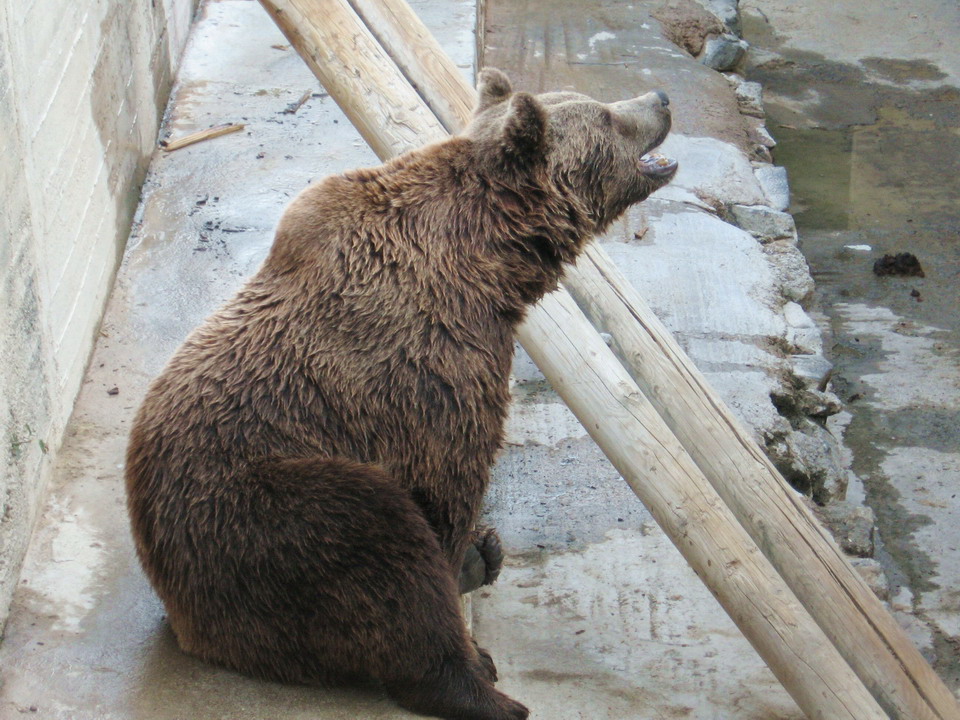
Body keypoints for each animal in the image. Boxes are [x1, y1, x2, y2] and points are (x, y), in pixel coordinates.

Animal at [125, 67, 675, 720]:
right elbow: (446, 484)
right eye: (607, 116)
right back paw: (483, 687)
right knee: (379, 544)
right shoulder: (432, 369)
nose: (660, 98)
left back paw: (483, 559)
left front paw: (471, 557)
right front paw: (467, 613)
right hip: (252, 514)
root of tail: (179, 611)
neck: (489, 261)